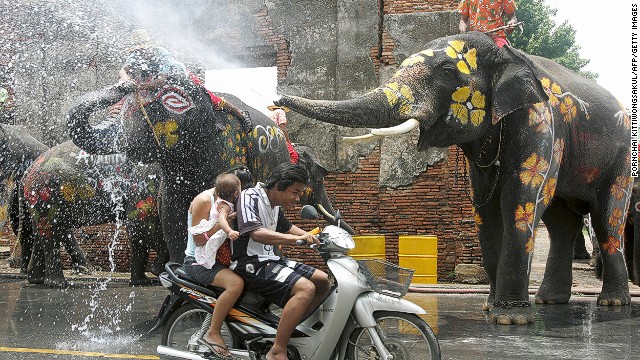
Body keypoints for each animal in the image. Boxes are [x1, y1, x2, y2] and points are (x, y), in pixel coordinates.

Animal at [24, 141, 168, 286]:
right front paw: (153, 274)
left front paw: (145, 280)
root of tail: (30, 169)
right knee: (51, 232)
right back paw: (57, 283)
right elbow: (141, 225)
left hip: (41, 199)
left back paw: (36, 279)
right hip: (46, 192)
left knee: (41, 231)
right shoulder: (143, 184)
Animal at [276, 31, 636, 324]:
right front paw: (490, 309)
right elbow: (484, 209)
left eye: (448, 72)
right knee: (562, 221)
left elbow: (520, 200)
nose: (278, 100)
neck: (505, 53)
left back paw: (613, 303)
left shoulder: (540, 121)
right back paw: (550, 301)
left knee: (606, 218)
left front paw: (510, 319)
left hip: (621, 156)